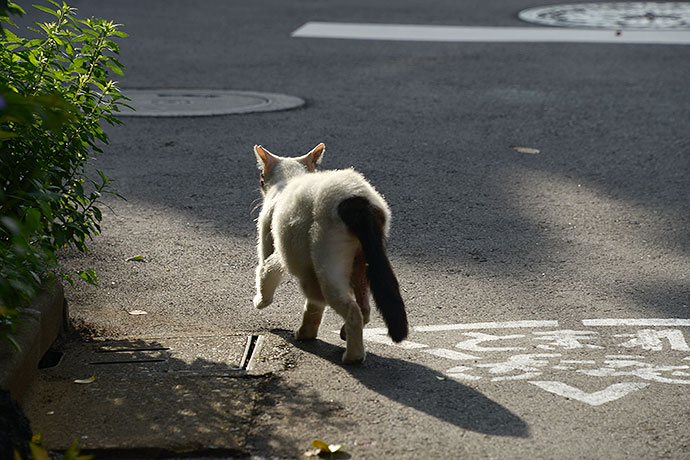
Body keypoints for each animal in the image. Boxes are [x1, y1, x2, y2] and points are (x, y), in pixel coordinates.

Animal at [251, 142, 404, 364]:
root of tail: (355, 200)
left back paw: (353, 357)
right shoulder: (304, 269)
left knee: (351, 310)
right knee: (364, 308)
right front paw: (306, 333)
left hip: (328, 269)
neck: (291, 178)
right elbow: (313, 307)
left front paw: (260, 302)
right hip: (361, 265)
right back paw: (344, 334)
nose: (261, 183)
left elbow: (265, 277)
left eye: (261, 176)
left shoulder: (275, 251)